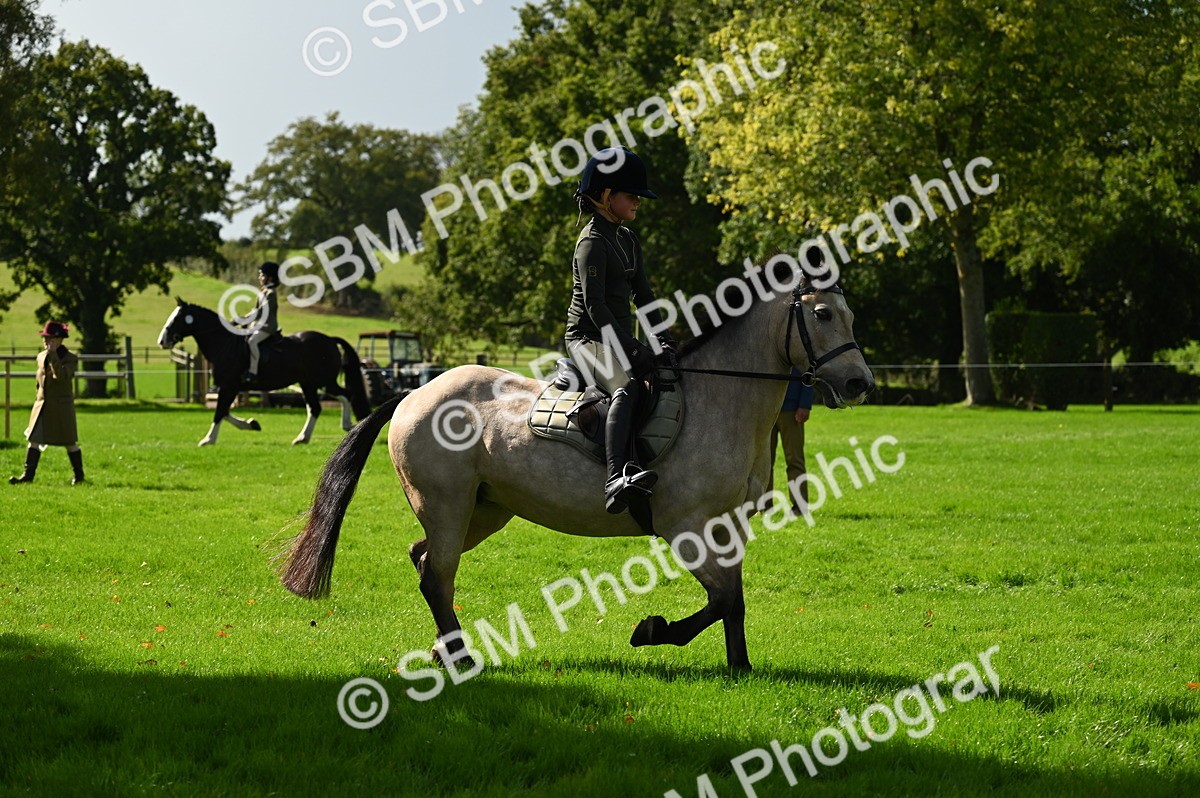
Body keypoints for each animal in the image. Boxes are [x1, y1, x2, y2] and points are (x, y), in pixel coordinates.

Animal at [157, 299, 372, 446]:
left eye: (177, 318)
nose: (162, 340)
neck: (225, 345)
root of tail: (329, 339)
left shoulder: (229, 386)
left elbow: (219, 412)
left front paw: (208, 439)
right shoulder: (229, 387)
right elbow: (225, 412)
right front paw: (252, 424)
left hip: (323, 381)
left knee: (346, 395)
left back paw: (347, 425)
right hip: (308, 383)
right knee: (315, 408)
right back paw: (302, 437)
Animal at [280, 268, 874, 671]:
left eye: (849, 316)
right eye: (822, 315)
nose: (859, 384)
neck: (722, 397)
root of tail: (414, 392)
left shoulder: (728, 527)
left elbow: (734, 601)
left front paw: (740, 665)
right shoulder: (686, 527)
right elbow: (723, 598)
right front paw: (651, 631)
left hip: (484, 511)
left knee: (424, 559)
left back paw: (444, 648)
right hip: (447, 506)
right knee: (436, 576)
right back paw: (462, 656)